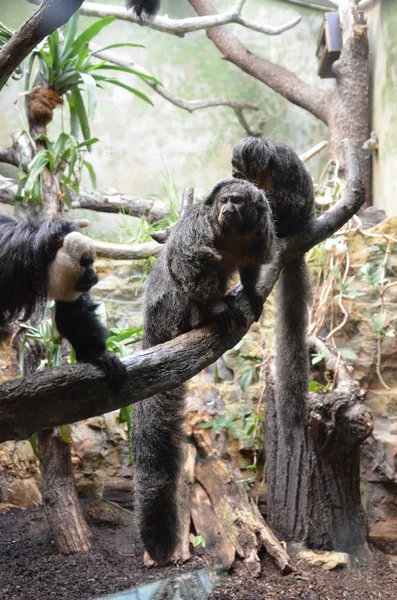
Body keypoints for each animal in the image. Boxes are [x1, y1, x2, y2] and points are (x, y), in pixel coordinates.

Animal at [131, 178, 274, 564]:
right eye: (224, 201)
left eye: (237, 202)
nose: (227, 209)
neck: (231, 233)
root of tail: (152, 330)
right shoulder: (196, 228)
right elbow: (188, 263)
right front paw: (217, 308)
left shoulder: (261, 233)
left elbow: (253, 266)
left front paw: (251, 293)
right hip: (168, 313)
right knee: (185, 283)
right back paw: (204, 316)